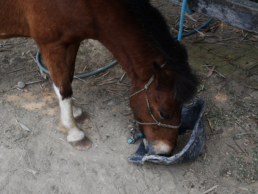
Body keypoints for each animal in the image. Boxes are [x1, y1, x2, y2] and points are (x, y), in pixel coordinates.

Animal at [0, 0, 198, 155]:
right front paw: (74, 132)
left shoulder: (72, 41)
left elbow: (69, 77)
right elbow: (63, 89)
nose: (166, 152)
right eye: (164, 113)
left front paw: (75, 112)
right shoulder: (51, 46)